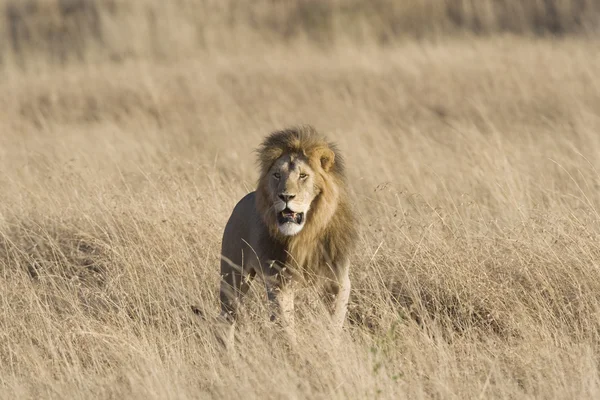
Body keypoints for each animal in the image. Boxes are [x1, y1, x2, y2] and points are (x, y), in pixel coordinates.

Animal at [218, 126, 356, 344]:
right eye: (276, 175)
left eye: (303, 176)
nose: (285, 196)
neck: (306, 234)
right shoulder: (279, 282)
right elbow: (286, 324)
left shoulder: (339, 279)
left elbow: (335, 321)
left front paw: (330, 342)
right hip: (233, 278)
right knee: (226, 321)